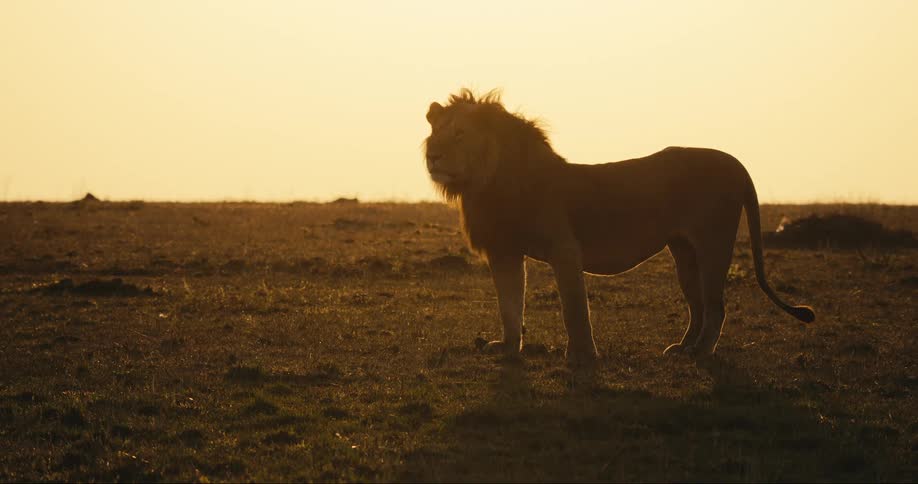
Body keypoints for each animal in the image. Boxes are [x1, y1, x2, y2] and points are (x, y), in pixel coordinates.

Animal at [423, 88, 815, 365]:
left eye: (459, 134)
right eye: (435, 133)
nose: (432, 156)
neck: (486, 183)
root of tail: (736, 162)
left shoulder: (564, 249)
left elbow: (574, 308)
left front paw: (582, 356)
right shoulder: (503, 251)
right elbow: (509, 305)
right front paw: (507, 349)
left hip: (713, 243)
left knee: (716, 305)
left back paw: (701, 353)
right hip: (684, 252)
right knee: (699, 305)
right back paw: (681, 348)